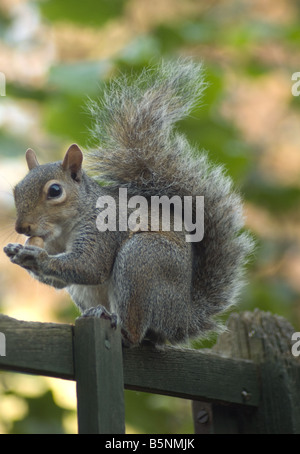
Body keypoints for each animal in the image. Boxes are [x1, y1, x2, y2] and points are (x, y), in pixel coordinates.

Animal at [3, 58, 254, 346]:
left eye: (55, 191)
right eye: (17, 190)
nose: (22, 228)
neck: (63, 229)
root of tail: (181, 319)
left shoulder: (104, 229)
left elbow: (89, 266)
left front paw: (33, 255)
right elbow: (61, 280)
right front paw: (16, 252)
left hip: (142, 259)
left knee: (135, 334)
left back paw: (116, 324)